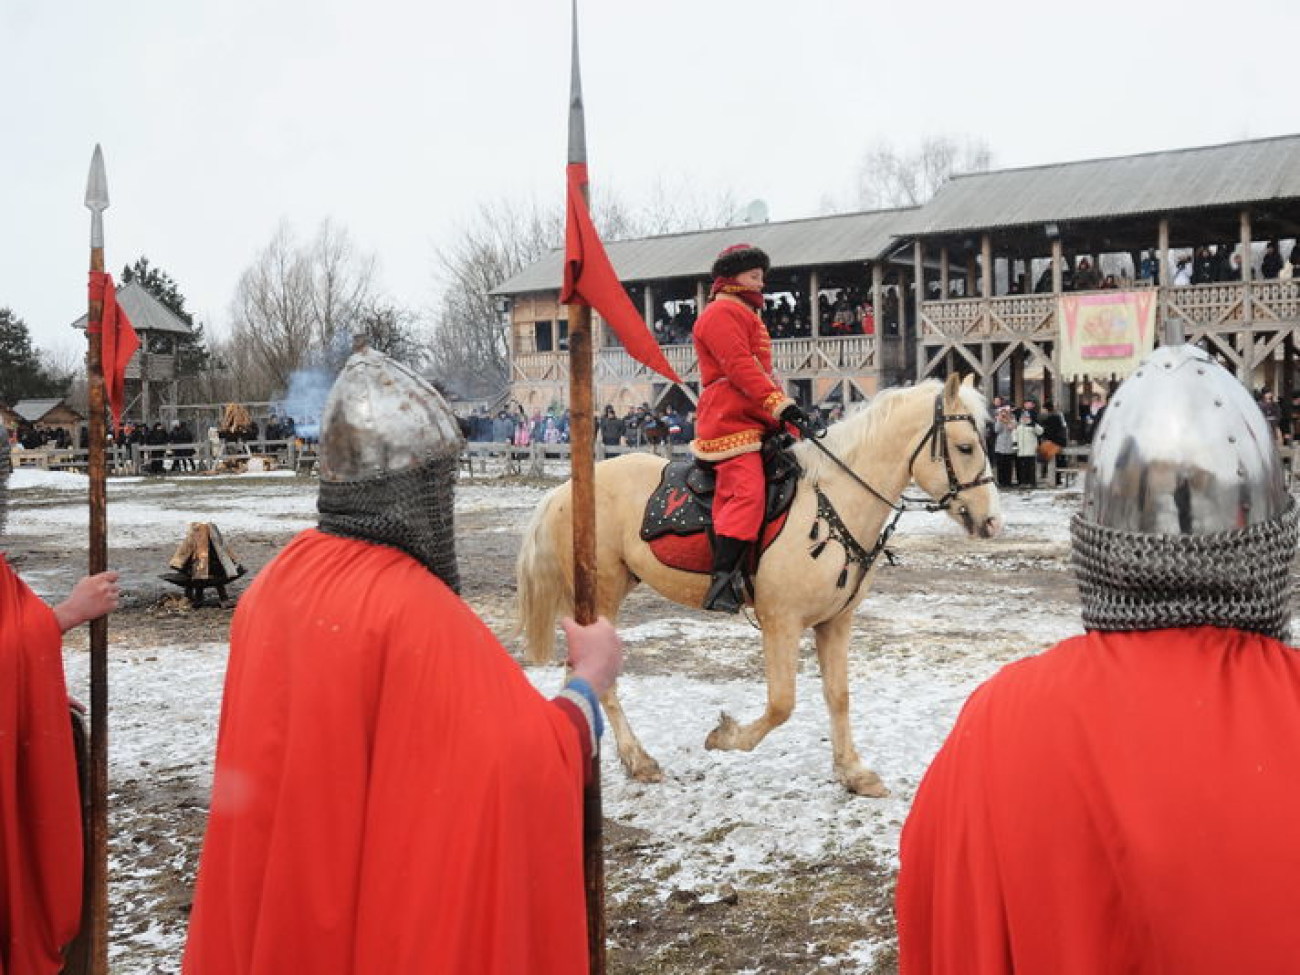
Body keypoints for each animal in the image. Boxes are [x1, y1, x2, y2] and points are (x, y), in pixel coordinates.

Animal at [512, 377, 998, 795]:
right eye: (966, 446)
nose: (993, 521)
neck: (833, 500)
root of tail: (563, 491)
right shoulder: (781, 622)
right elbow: (782, 703)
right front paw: (725, 737)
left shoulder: (836, 622)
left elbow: (838, 696)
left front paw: (853, 773)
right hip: (603, 596)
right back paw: (639, 759)